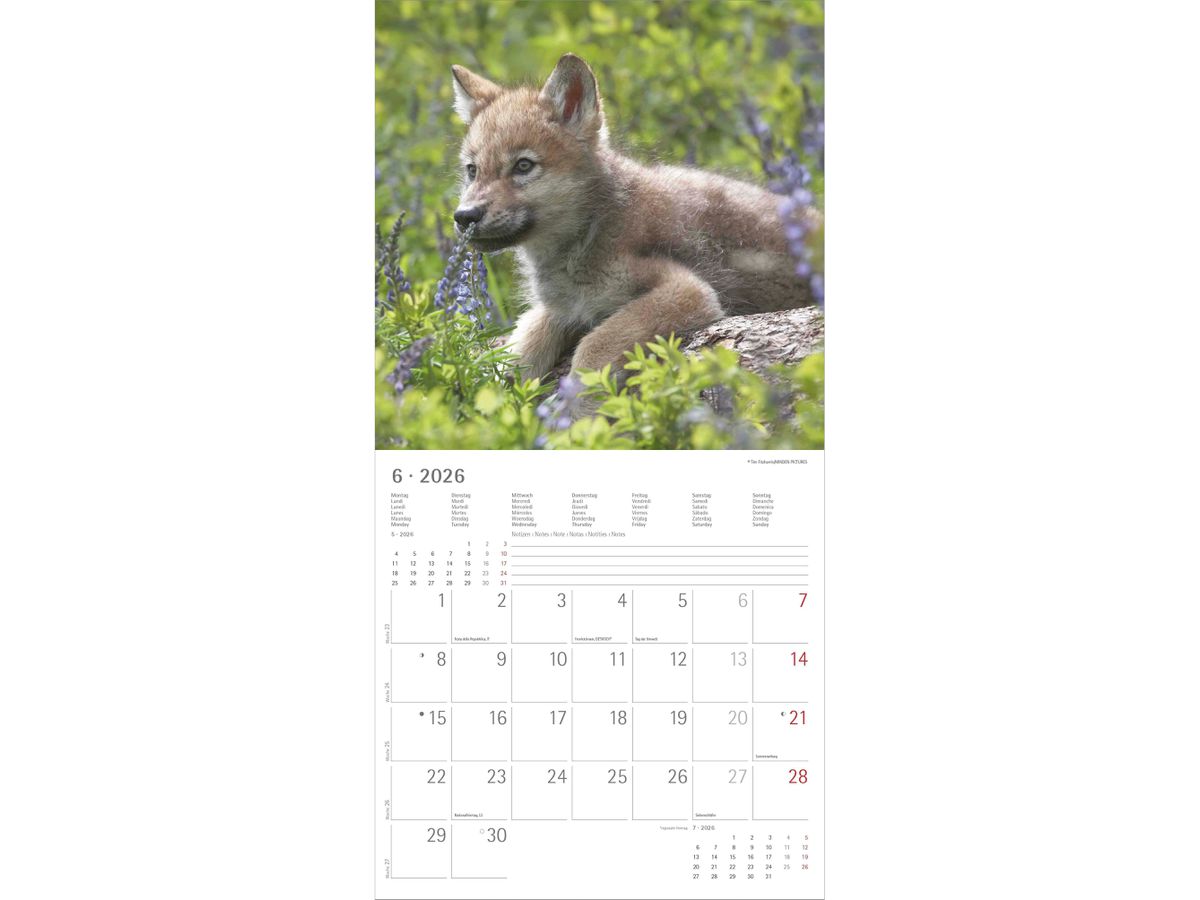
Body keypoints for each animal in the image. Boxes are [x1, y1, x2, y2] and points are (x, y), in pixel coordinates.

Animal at [450, 52, 815, 385]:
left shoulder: (688, 291)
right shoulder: (563, 310)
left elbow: (594, 347)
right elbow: (519, 349)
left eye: (523, 166)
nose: (464, 217)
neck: (589, 233)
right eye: (472, 170)